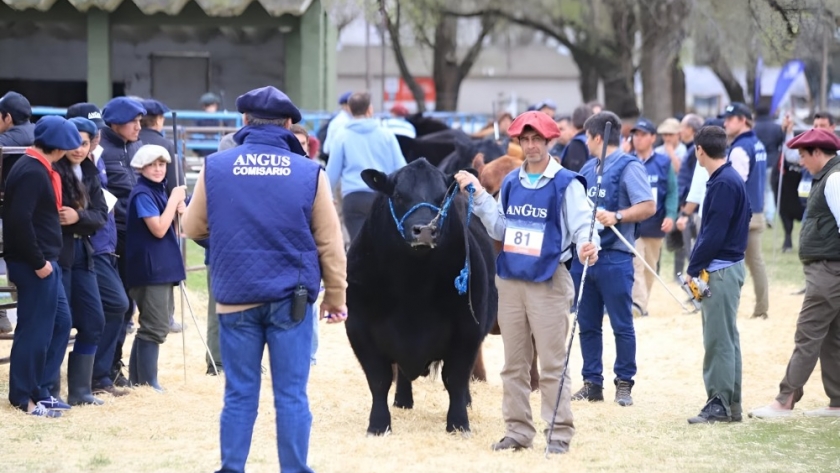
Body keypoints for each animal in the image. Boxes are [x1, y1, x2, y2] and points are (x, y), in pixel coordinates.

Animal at [346, 159, 498, 436]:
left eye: (442, 197)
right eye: (398, 195)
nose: (426, 230)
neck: (413, 287)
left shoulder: (468, 330)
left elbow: (455, 378)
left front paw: (459, 424)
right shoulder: (359, 328)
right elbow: (379, 379)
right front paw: (378, 425)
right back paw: (402, 400)